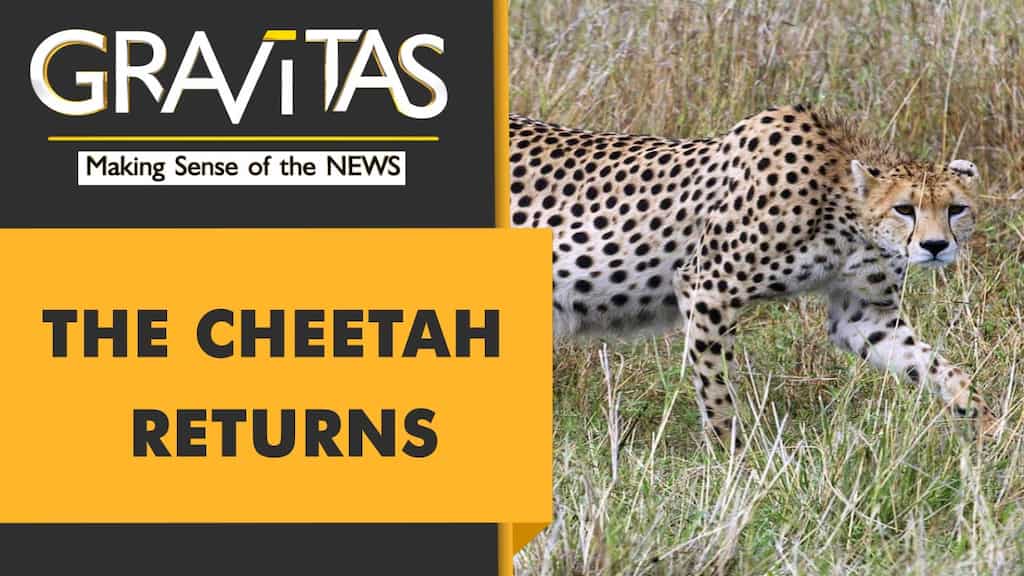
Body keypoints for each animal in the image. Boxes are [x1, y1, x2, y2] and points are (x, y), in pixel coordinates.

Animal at [509, 104, 999, 447]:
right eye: (904, 209)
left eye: (956, 208)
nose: (935, 246)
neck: (842, 205)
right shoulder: (707, 287)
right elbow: (717, 388)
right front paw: (732, 459)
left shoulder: (864, 315)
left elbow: (940, 368)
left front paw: (990, 428)